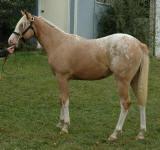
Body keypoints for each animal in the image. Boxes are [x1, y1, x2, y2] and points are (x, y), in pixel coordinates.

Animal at [8, 10, 149, 141]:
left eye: (22, 25)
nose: (10, 41)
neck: (58, 43)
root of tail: (138, 44)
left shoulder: (62, 77)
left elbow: (65, 100)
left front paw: (65, 127)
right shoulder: (61, 79)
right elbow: (61, 99)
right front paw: (60, 123)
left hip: (122, 81)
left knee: (125, 103)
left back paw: (114, 134)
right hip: (134, 81)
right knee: (141, 101)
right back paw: (141, 133)